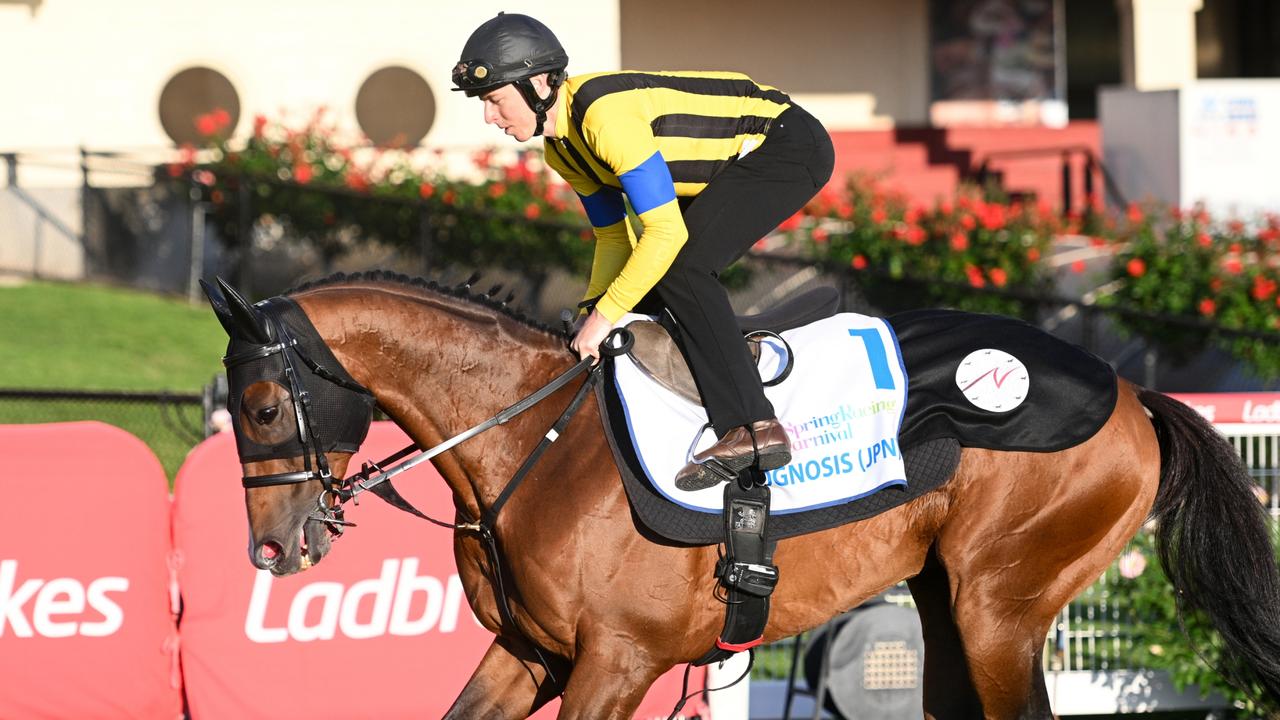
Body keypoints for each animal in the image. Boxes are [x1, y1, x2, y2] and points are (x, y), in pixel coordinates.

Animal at [204, 270, 1280, 717]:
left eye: (259, 406)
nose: (272, 549)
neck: (527, 439)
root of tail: (1131, 393)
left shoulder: (618, 663)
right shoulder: (530, 654)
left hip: (999, 609)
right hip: (952, 604)